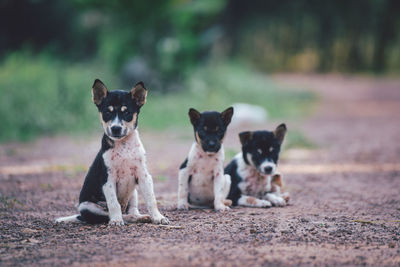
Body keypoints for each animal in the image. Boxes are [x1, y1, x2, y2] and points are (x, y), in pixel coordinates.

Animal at [56, 79, 169, 226]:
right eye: (107, 113)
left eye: (126, 113)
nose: (116, 128)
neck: (124, 147)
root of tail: (81, 216)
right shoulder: (107, 179)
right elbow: (114, 204)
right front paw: (116, 220)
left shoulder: (143, 175)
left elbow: (151, 199)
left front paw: (158, 217)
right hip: (87, 206)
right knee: (110, 214)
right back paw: (123, 218)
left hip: (133, 193)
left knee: (132, 210)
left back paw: (141, 217)